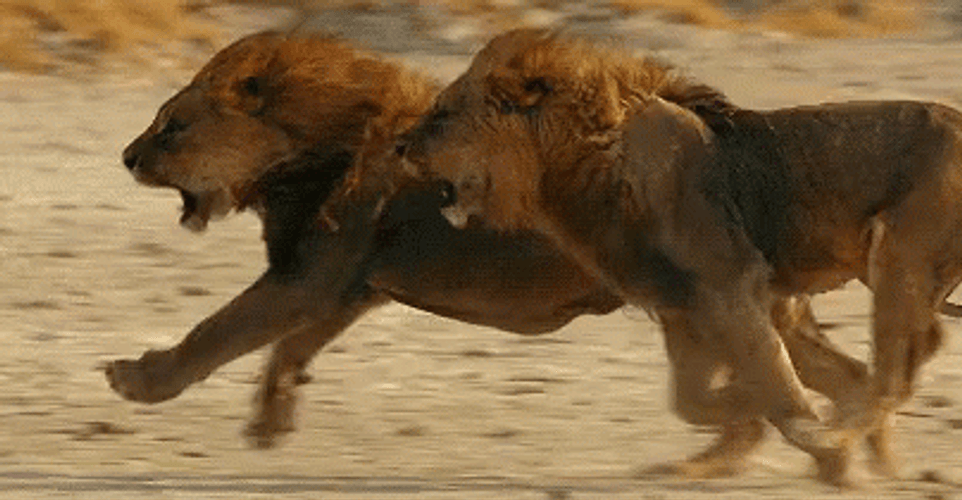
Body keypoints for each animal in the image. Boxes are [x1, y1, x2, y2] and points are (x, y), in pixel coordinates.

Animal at [108, 30, 885, 480]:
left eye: (172, 126)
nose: (126, 157)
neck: (316, 141)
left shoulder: (310, 276)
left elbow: (216, 334)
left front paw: (137, 379)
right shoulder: (348, 286)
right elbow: (288, 349)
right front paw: (269, 421)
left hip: (707, 299)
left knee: (792, 379)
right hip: (745, 304)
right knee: (839, 374)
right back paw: (829, 448)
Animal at [396, 28, 962, 484]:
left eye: (442, 114)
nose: (400, 145)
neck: (578, 167)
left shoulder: (730, 287)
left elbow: (772, 382)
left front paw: (800, 432)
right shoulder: (681, 306)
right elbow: (693, 400)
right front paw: (745, 430)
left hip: (899, 259)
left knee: (896, 371)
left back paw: (839, 437)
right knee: (887, 366)